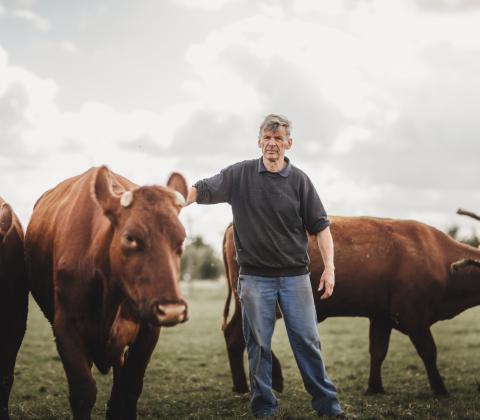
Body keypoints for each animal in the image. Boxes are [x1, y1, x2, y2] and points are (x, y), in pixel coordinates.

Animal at [24, 167, 188, 420]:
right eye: (130, 237)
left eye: (181, 240)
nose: (172, 310)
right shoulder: (65, 325)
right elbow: (83, 392)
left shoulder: (149, 329)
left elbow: (129, 387)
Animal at [223, 217, 480, 398]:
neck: (438, 259)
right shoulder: (413, 315)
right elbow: (429, 351)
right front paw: (440, 389)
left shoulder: (382, 317)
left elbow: (378, 351)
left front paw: (375, 387)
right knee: (242, 336)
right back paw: (267, 380)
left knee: (233, 335)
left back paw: (241, 386)